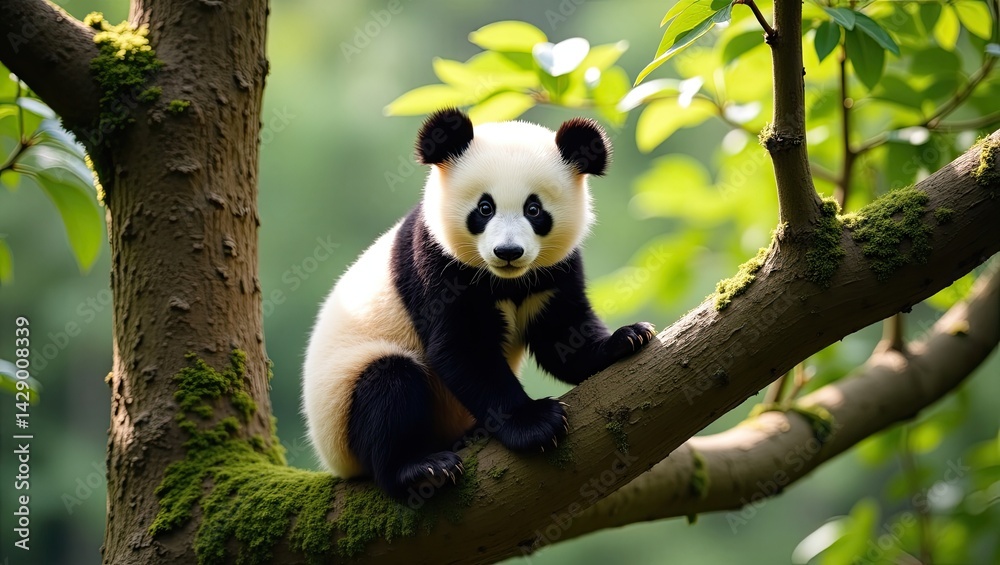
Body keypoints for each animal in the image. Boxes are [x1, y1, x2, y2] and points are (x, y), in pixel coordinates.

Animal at [302, 108, 655, 499]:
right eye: (484, 208)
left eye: (534, 209)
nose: (508, 252)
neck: (506, 280)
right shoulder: (436, 265)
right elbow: (463, 350)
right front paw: (535, 424)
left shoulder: (555, 272)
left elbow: (563, 336)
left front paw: (627, 338)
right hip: (342, 409)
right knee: (387, 388)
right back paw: (422, 469)